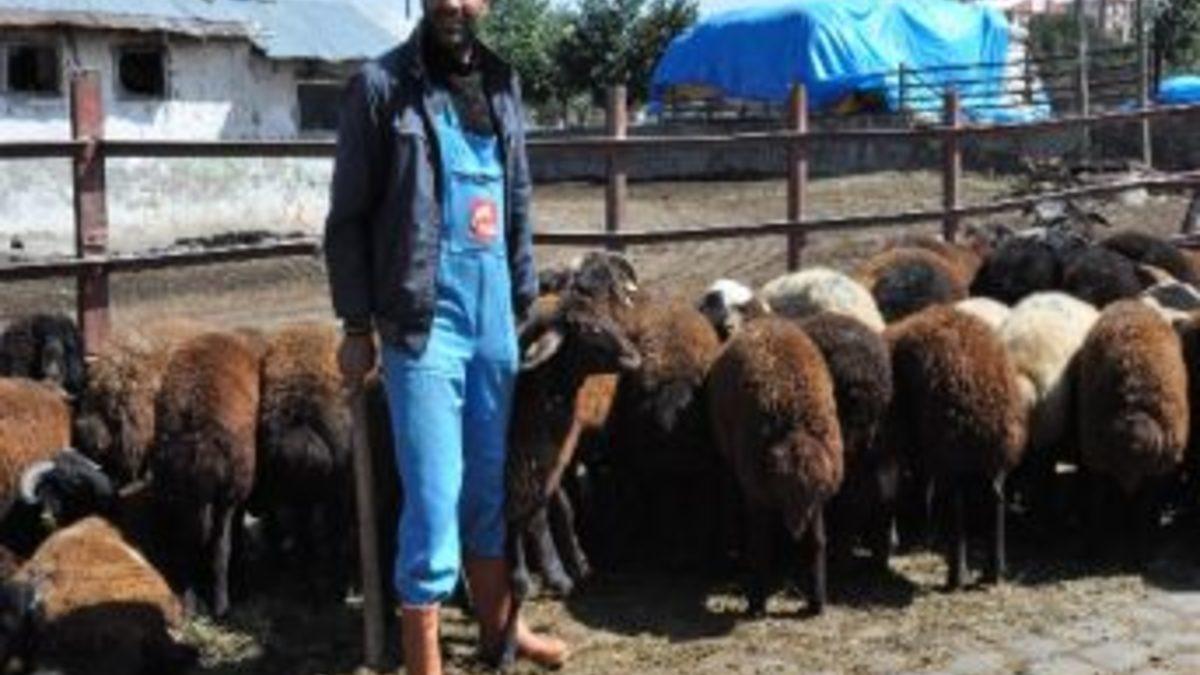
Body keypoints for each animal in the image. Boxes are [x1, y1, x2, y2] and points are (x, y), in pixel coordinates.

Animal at [151, 330, 261, 617]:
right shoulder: (233, 494)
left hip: (177, 491)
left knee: (186, 543)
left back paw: (190, 600)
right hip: (229, 489)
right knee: (219, 546)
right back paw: (222, 604)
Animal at [885, 306, 1027, 589]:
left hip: (950, 451)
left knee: (956, 509)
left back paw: (956, 577)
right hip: (995, 456)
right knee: (995, 503)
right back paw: (993, 572)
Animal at [1076, 300, 1188, 560]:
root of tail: (1132, 301)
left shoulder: (1157, 472)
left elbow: (1144, 509)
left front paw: (1142, 546)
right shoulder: (1100, 465)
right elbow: (1099, 503)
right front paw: (1095, 547)